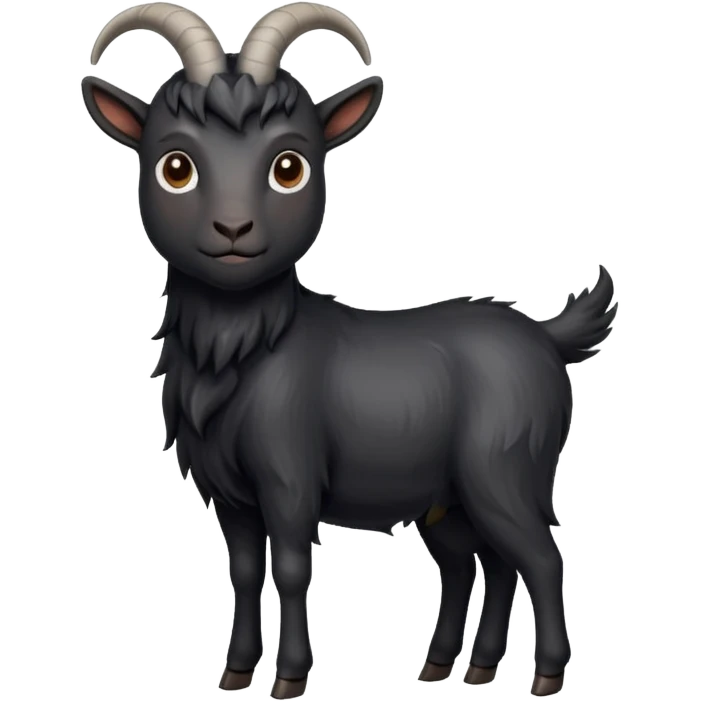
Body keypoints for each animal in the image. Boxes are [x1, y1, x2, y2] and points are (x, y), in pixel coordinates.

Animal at [82, 2, 617, 698]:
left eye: (289, 166)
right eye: (175, 166)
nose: (233, 229)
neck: (246, 350)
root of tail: (547, 336)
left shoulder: (288, 476)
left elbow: (289, 568)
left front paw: (288, 677)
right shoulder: (231, 495)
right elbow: (245, 573)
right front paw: (234, 674)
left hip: (506, 470)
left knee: (541, 559)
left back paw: (545, 676)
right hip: (448, 499)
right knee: (482, 566)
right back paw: (458, 668)